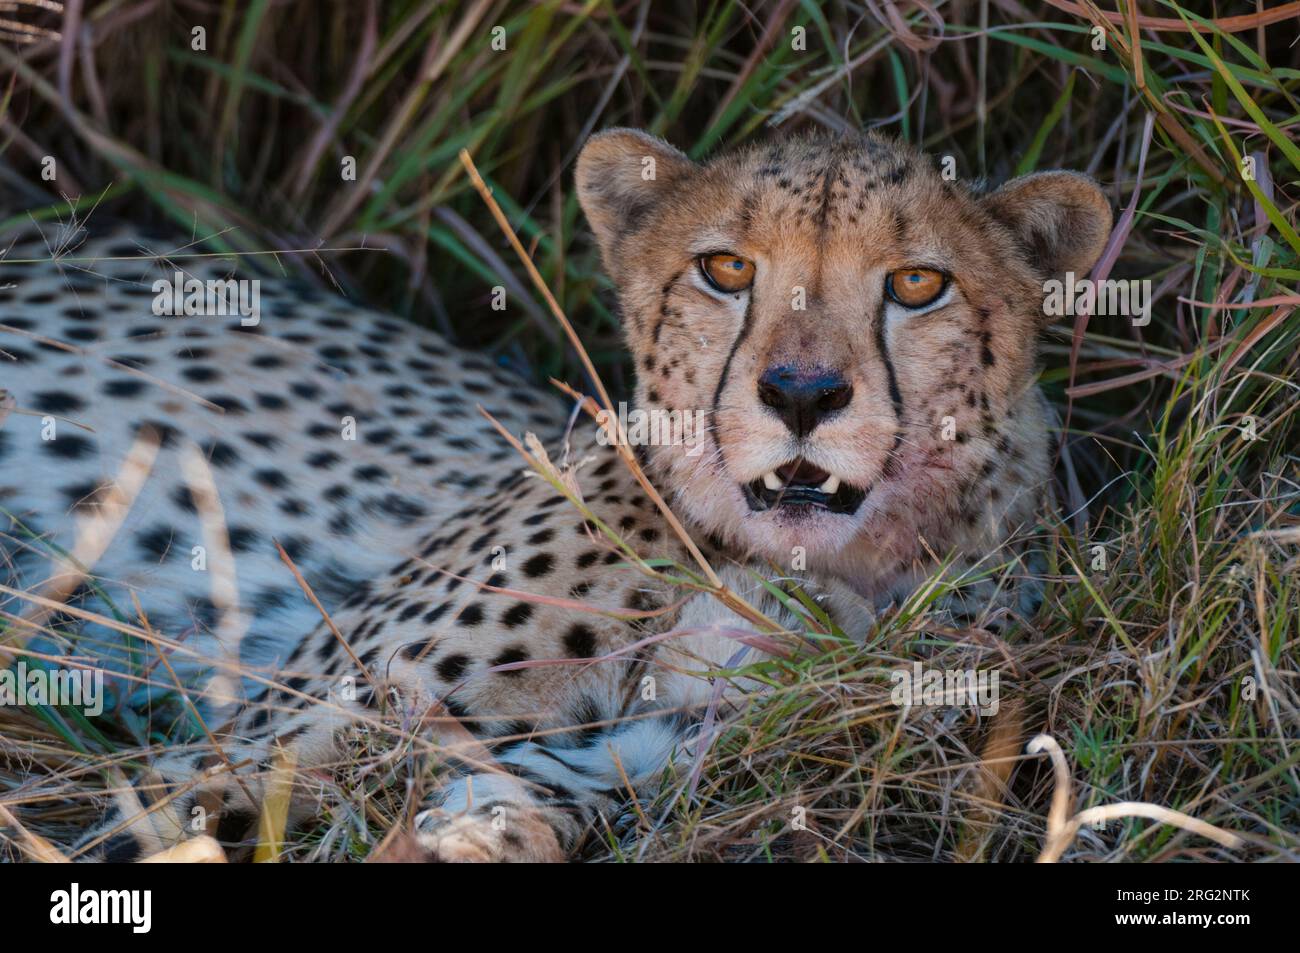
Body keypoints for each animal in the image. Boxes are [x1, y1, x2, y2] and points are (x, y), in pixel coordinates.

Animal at [2, 128, 1107, 863]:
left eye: (917, 284)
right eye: (725, 268)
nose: (800, 393)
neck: (803, 569)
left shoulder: (624, 766)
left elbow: (531, 806)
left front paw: (468, 835)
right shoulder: (265, 734)